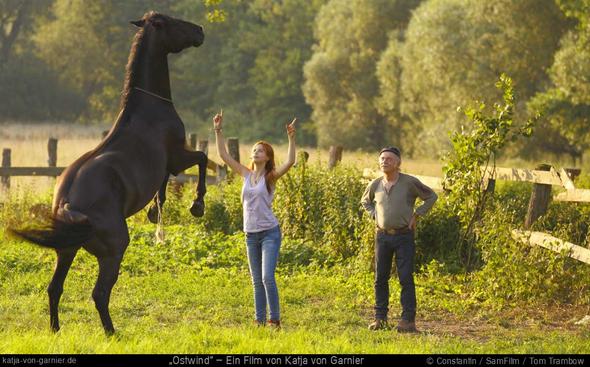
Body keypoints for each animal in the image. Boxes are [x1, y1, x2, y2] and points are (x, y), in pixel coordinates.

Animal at [8, 11, 208, 334]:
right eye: (171, 21)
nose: (199, 30)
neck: (148, 108)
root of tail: (68, 204)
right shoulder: (178, 156)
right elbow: (202, 159)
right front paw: (197, 204)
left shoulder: (165, 165)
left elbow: (164, 185)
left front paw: (155, 210)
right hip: (113, 251)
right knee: (100, 293)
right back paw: (112, 333)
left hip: (66, 251)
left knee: (54, 289)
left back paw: (56, 329)